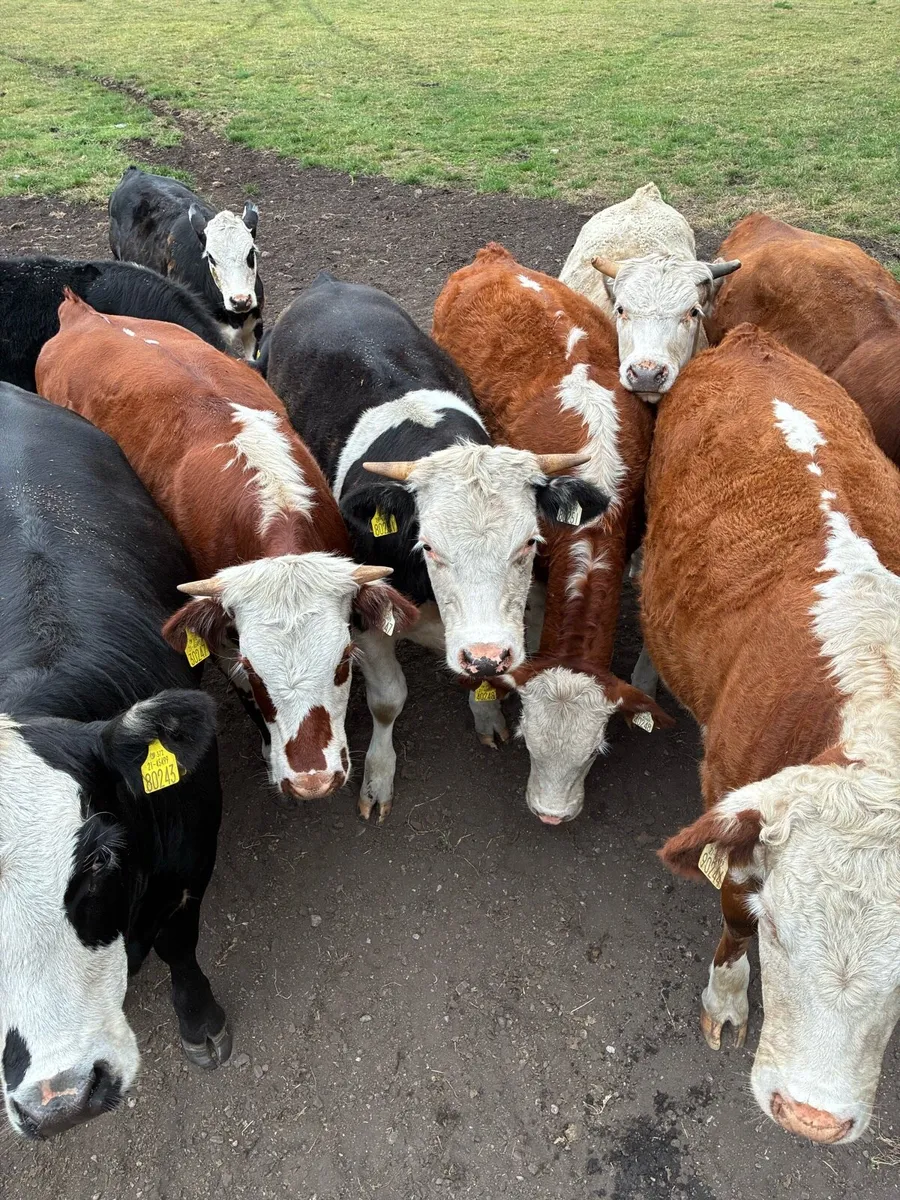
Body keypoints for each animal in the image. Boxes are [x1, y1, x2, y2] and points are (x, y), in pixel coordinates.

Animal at [262, 273, 608, 821]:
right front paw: (378, 777)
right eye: (427, 546)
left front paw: (486, 714)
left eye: (530, 541)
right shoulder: (364, 618)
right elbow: (387, 699)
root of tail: (329, 283)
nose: (485, 654)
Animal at [643, 324, 900, 1144]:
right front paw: (726, 998)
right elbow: (730, 911)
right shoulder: (732, 801)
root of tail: (752, 340)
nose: (813, 1120)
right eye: (779, 930)